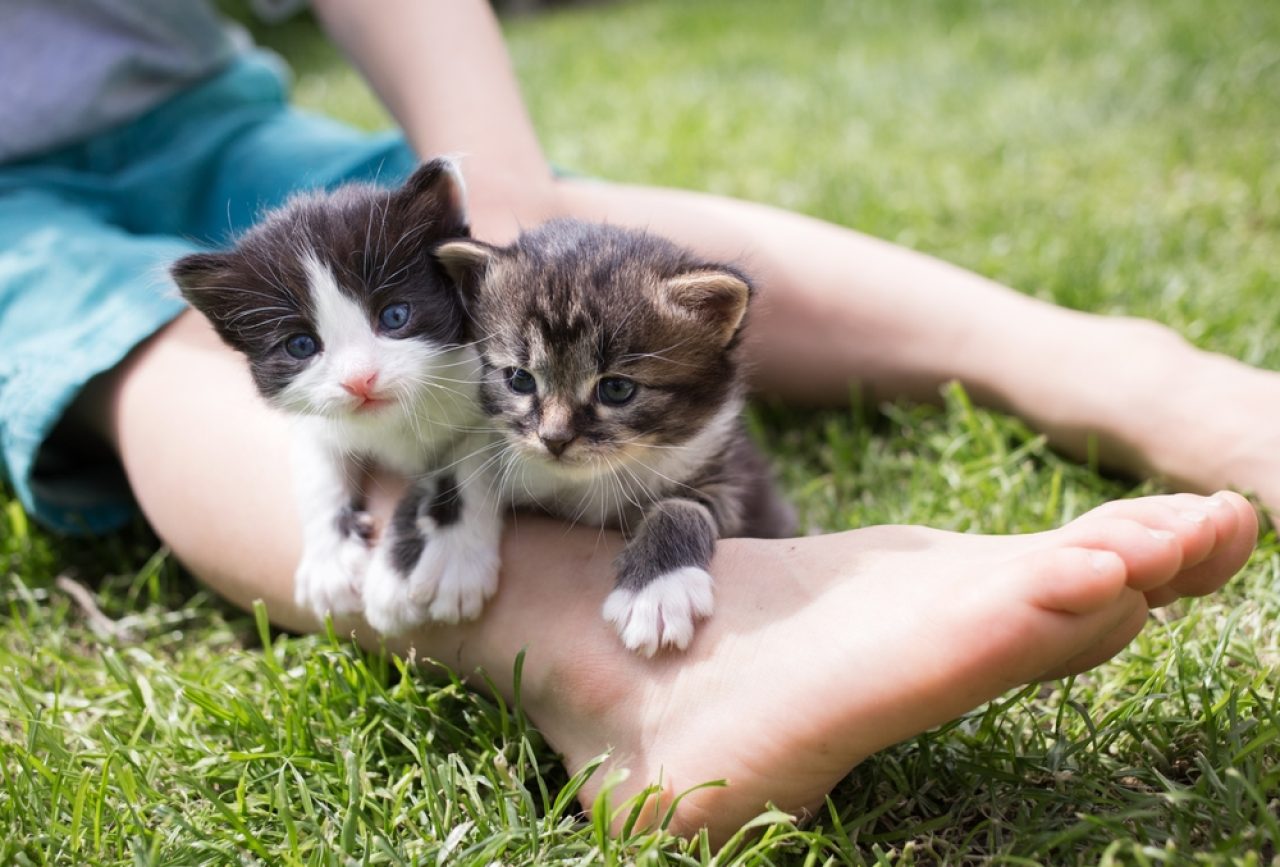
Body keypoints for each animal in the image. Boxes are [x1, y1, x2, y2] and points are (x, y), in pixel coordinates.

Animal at [172, 160, 501, 635]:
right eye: (301, 345)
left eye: (395, 316)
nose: (359, 380)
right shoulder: (317, 421)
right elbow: (319, 471)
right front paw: (329, 564)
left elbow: (467, 466)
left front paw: (449, 560)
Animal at [440, 220, 798, 653]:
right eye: (520, 379)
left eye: (616, 389)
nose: (554, 439)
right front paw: (450, 552)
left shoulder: (730, 477)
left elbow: (680, 507)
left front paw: (658, 589)